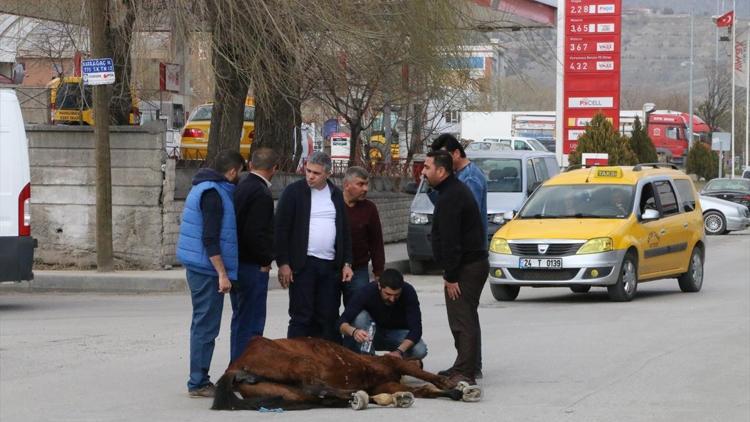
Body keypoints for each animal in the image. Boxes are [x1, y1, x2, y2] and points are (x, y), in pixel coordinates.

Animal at [212, 334, 482, 410]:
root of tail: (235, 365)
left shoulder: (387, 382)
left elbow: (423, 389)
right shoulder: (392, 364)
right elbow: (428, 379)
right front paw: (454, 386)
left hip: (285, 392)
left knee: (315, 395)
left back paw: (353, 397)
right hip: (298, 361)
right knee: (314, 386)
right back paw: (354, 395)